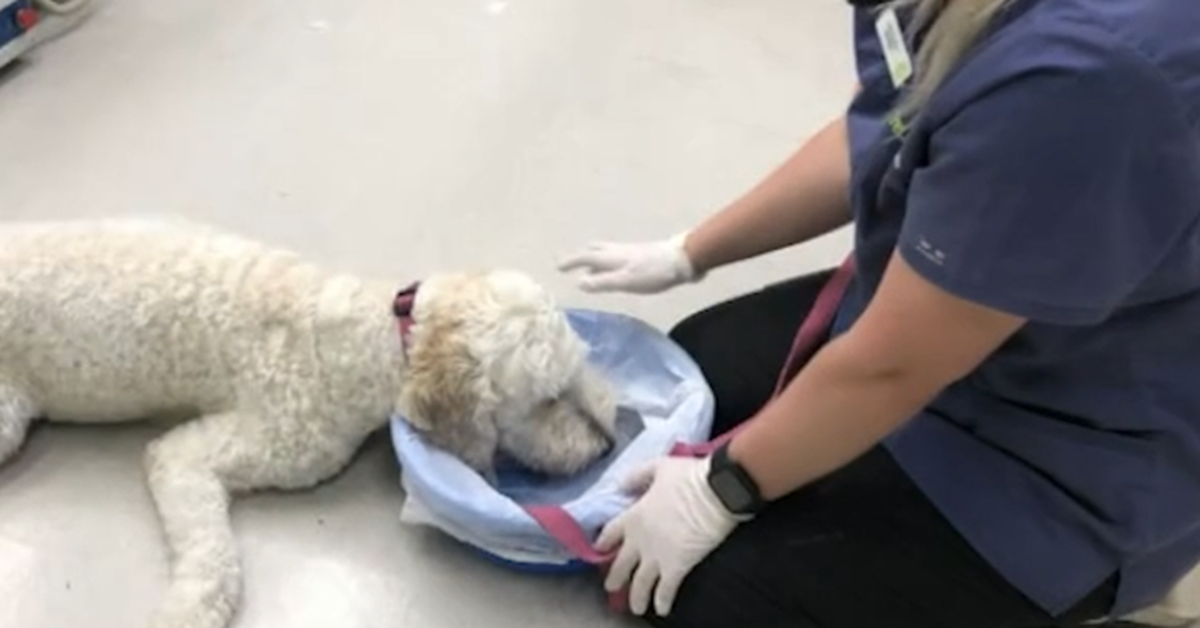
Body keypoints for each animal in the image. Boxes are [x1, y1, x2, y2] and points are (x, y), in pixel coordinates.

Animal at [0, 217, 619, 628]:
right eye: (548, 399)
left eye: (580, 368)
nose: (607, 442)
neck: (367, 338)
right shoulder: (194, 455)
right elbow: (213, 557)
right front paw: (186, 610)